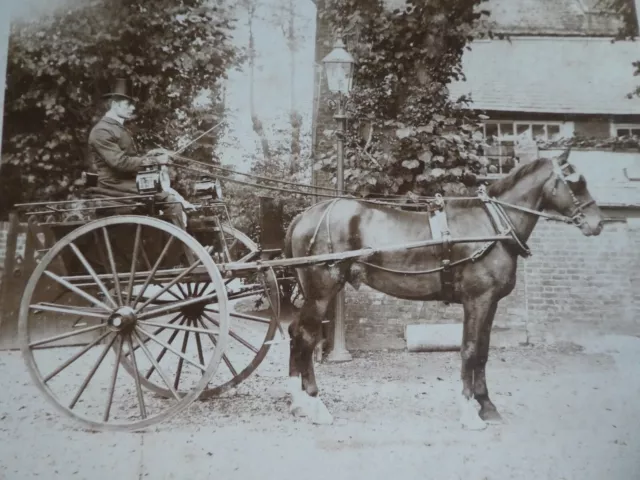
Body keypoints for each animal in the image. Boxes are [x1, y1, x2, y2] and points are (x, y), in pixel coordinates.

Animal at [284, 148, 604, 430]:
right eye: (577, 181)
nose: (598, 223)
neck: (493, 227)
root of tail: (304, 216)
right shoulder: (477, 300)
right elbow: (470, 350)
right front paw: (469, 412)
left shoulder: (491, 303)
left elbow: (483, 352)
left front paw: (487, 406)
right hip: (322, 291)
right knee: (306, 337)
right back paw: (315, 404)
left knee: (295, 333)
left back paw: (297, 400)